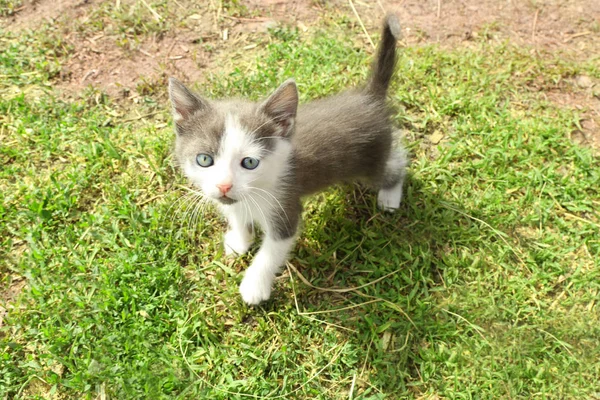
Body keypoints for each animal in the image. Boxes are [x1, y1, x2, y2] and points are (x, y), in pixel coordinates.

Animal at [166, 14, 406, 304]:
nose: (224, 185)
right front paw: (239, 240)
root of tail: (370, 97)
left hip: (369, 163)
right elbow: (237, 215)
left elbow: (271, 252)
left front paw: (254, 286)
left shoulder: (285, 204)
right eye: (204, 159)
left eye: (249, 163)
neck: (257, 191)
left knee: (394, 165)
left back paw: (390, 196)